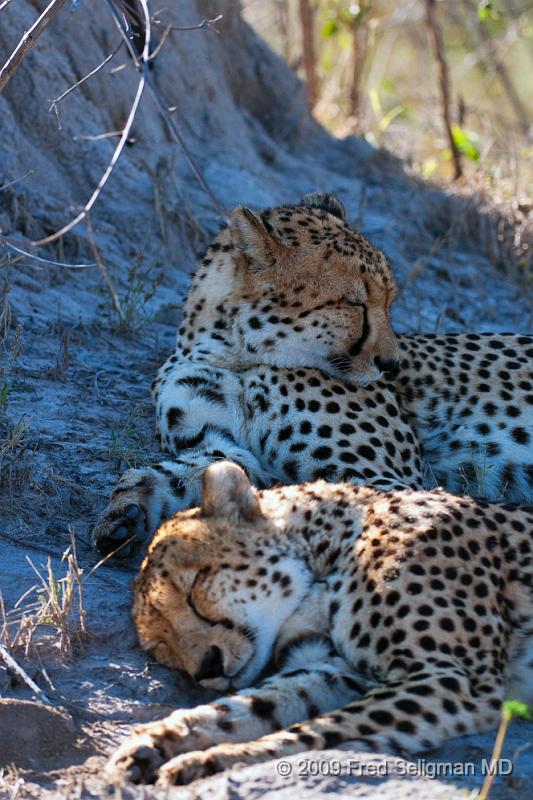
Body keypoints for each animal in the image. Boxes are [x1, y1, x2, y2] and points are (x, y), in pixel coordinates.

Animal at [92, 194, 532, 556]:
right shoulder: (232, 448)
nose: (391, 364)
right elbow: (195, 470)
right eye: (354, 303)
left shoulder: (389, 478)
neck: (231, 352)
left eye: (388, 301)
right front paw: (130, 506)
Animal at [107, 462, 532, 788]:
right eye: (163, 647)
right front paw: (156, 741)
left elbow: (319, 730)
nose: (206, 667)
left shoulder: (453, 678)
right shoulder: (340, 670)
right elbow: (248, 706)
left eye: (194, 587)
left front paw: (215, 759)